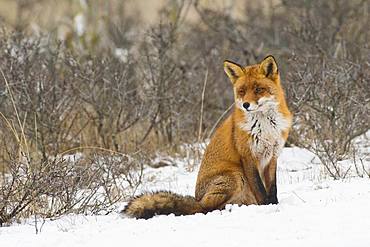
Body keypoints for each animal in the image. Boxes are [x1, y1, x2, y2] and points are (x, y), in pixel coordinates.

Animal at [123, 55, 294, 218]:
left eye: (258, 89)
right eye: (242, 91)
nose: (246, 105)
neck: (266, 128)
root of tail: (198, 199)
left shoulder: (272, 155)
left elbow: (272, 187)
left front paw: (274, 204)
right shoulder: (248, 156)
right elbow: (260, 189)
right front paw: (266, 206)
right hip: (235, 175)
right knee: (207, 209)